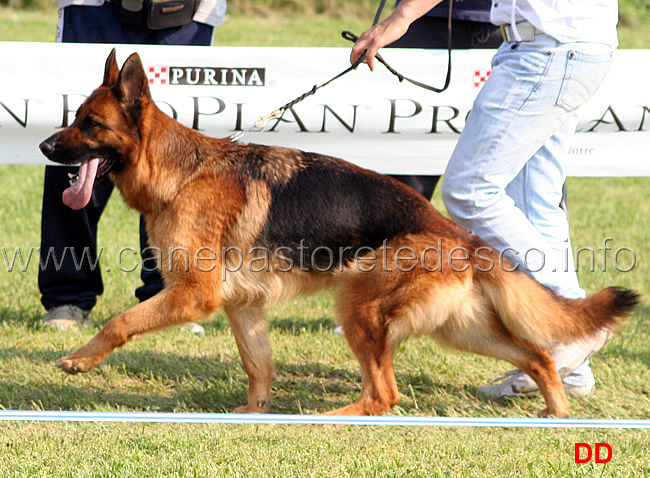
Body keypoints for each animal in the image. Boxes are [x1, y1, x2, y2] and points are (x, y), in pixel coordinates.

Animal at [38, 50, 636, 416]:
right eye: (75, 118)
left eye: (90, 125)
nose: (44, 147)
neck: (181, 172)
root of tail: (459, 235)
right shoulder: (242, 306)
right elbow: (258, 366)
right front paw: (253, 415)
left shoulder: (193, 296)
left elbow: (121, 321)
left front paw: (80, 359)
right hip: (457, 328)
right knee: (535, 354)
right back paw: (556, 413)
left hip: (358, 309)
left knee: (385, 394)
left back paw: (337, 414)